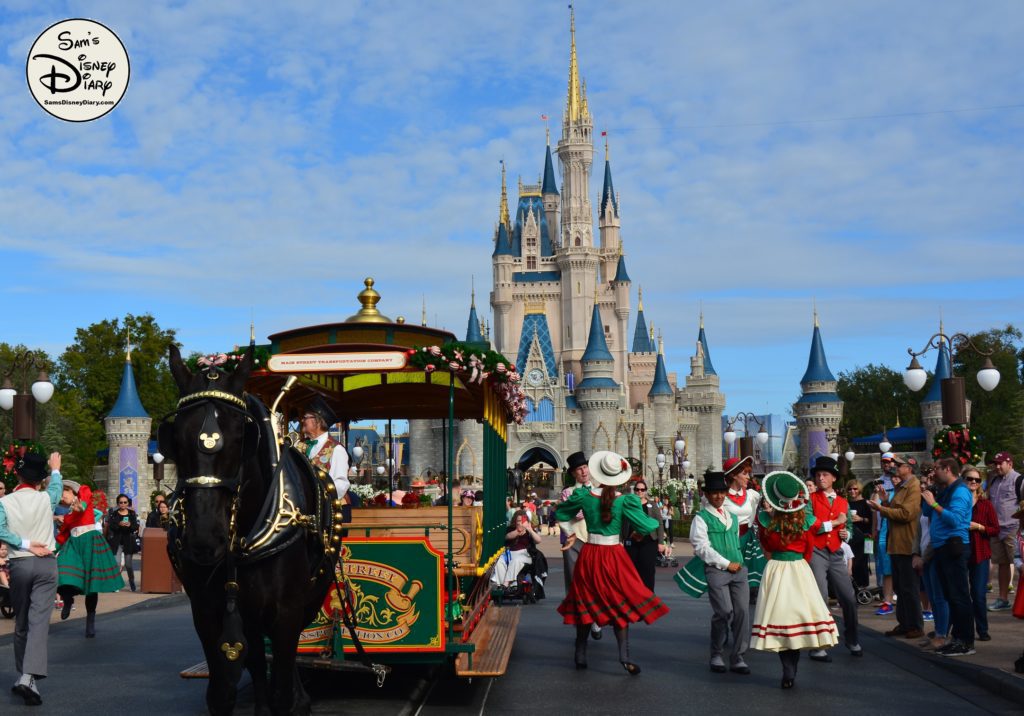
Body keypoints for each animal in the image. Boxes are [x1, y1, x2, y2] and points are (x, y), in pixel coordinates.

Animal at [163, 344, 339, 712]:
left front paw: (295, 699)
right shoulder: (206, 612)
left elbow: (282, 693)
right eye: (175, 437)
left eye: (241, 437)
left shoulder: (286, 613)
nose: (205, 538)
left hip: (311, 596)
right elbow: (222, 693)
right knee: (257, 660)